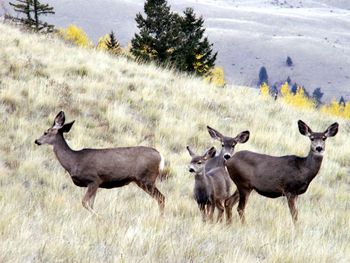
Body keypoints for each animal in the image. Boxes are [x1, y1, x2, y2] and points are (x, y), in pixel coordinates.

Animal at [34, 111, 166, 217]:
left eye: (45, 132)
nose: (36, 141)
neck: (74, 161)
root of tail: (160, 156)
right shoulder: (95, 184)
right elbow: (91, 204)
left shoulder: (94, 180)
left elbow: (85, 202)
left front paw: (100, 217)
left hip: (146, 179)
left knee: (161, 198)